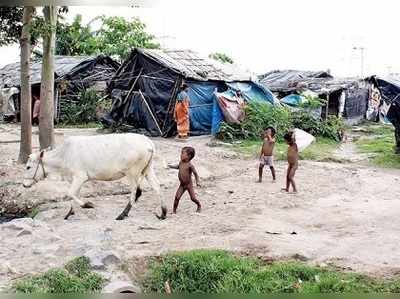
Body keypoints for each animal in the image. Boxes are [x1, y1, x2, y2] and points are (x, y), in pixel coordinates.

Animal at [22, 134, 166, 220]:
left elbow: (70, 193)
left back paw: (122, 214)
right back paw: (163, 212)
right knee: (157, 187)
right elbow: (73, 194)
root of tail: (148, 143)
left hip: (133, 172)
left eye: (28, 167)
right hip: (148, 169)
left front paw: (87, 205)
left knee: (135, 191)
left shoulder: (80, 177)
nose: (24, 184)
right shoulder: (75, 179)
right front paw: (69, 213)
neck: (63, 155)